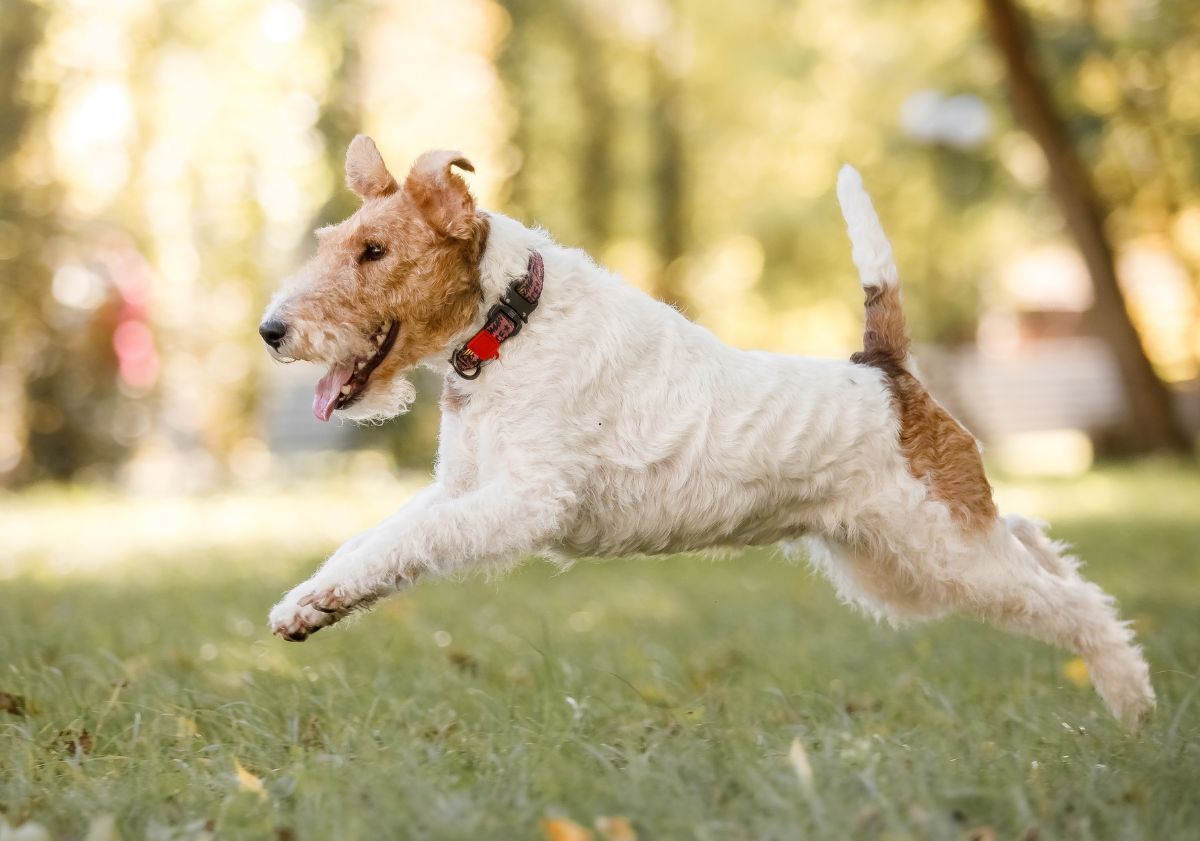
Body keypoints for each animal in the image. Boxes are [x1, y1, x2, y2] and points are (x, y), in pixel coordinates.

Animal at [260, 136, 1152, 719]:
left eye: (374, 250)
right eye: (330, 241)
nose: (272, 330)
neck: (508, 323)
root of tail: (886, 370)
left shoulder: (525, 500)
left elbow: (403, 542)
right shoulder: (462, 487)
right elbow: (370, 542)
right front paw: (308, 606)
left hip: (941, 550)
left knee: (1076, 605)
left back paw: (1133, 704)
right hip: (899, 565)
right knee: (1034, 537)